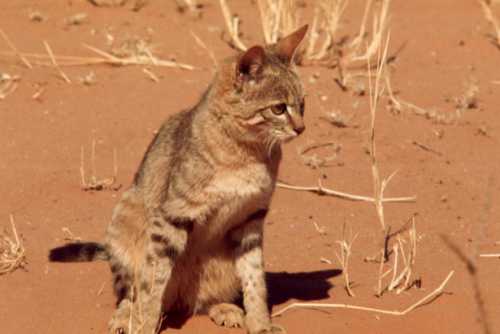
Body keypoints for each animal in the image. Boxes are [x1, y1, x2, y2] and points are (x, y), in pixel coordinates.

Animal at [50, 24, 308, 334]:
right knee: (129, 292)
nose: (301, 128)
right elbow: (154, 282)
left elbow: (255, 281)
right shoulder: (173, 216)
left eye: (303, 104)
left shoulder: (251, 219)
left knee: (202, 300)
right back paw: (124, 317)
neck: (248, 155)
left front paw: (261, 325)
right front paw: (145, 325)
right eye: (278, 108)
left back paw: (225, 309)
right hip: (124, 221)